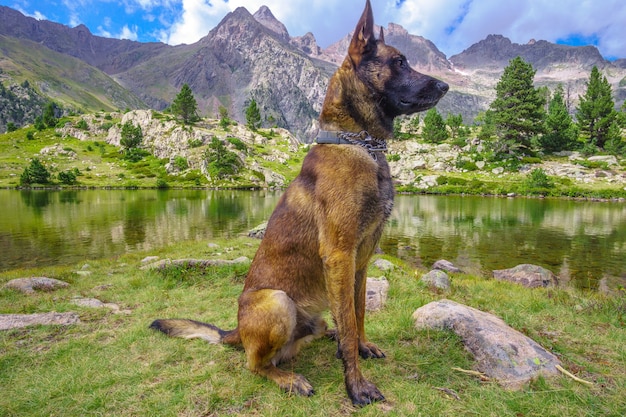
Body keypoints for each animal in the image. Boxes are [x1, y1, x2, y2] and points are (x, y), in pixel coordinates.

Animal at [149, 0, 446, 404]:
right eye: (399, 62)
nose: (445, 85)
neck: (360, 144)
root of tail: (235, 331)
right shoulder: (339, 254)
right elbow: (349, 324)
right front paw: (356, 385)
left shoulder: (361, 260)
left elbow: (357, 314)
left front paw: (362, 346)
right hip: (278, 301)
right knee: (257, 365)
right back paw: (288, 378)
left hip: (311, 316)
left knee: (319, 330)